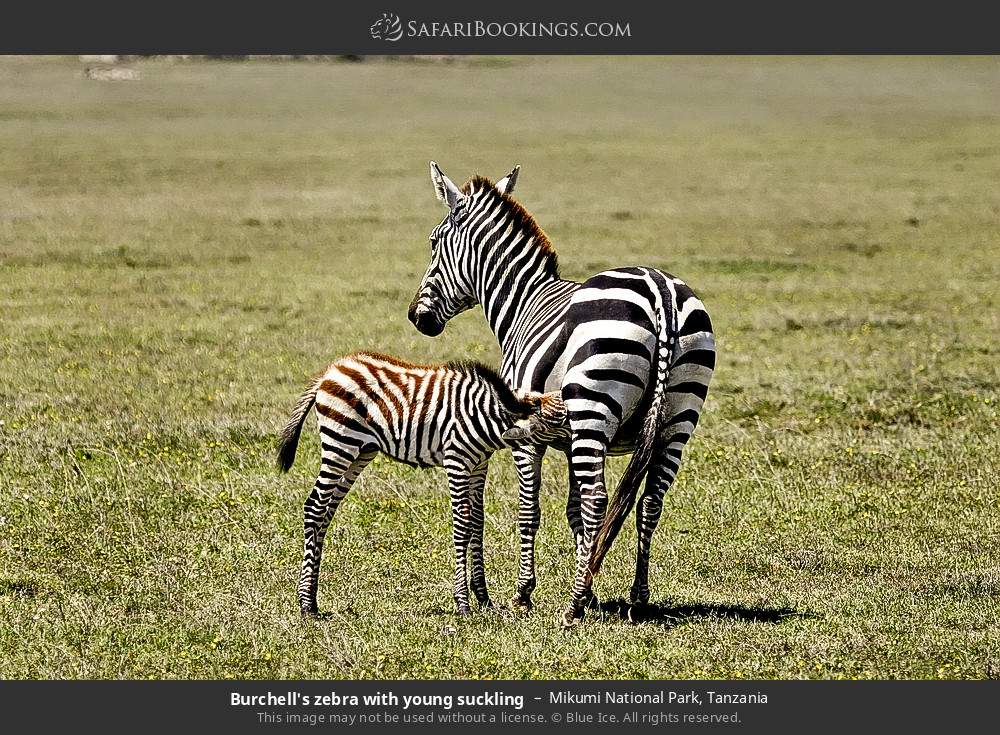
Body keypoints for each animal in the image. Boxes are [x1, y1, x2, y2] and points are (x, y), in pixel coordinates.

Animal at [276, 351, 566, 617]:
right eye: (562, 421)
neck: (486, 416)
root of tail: (330, 371)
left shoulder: (478, 466)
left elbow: (477, 522)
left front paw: (484, 599)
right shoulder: (457, 461)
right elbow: (462, 524)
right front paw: (463, 603)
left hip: (360, 451)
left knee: (326, 512)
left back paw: (312, 598)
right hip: (340, 444)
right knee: (314, 507)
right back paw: (306, 605)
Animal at [408, 162, 716, 626]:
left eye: (432, 243)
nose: (417, 318)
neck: (523, 303)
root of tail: (660, 293)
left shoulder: (526, 434)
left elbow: (529, 511)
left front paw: (526, 594)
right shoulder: (570, 440)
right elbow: (573, 515)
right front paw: (588, 585)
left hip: (594, 407)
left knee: (599, 499)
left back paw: (572, 608)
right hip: (678, 416)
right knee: (649, 501)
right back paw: (636, 597)